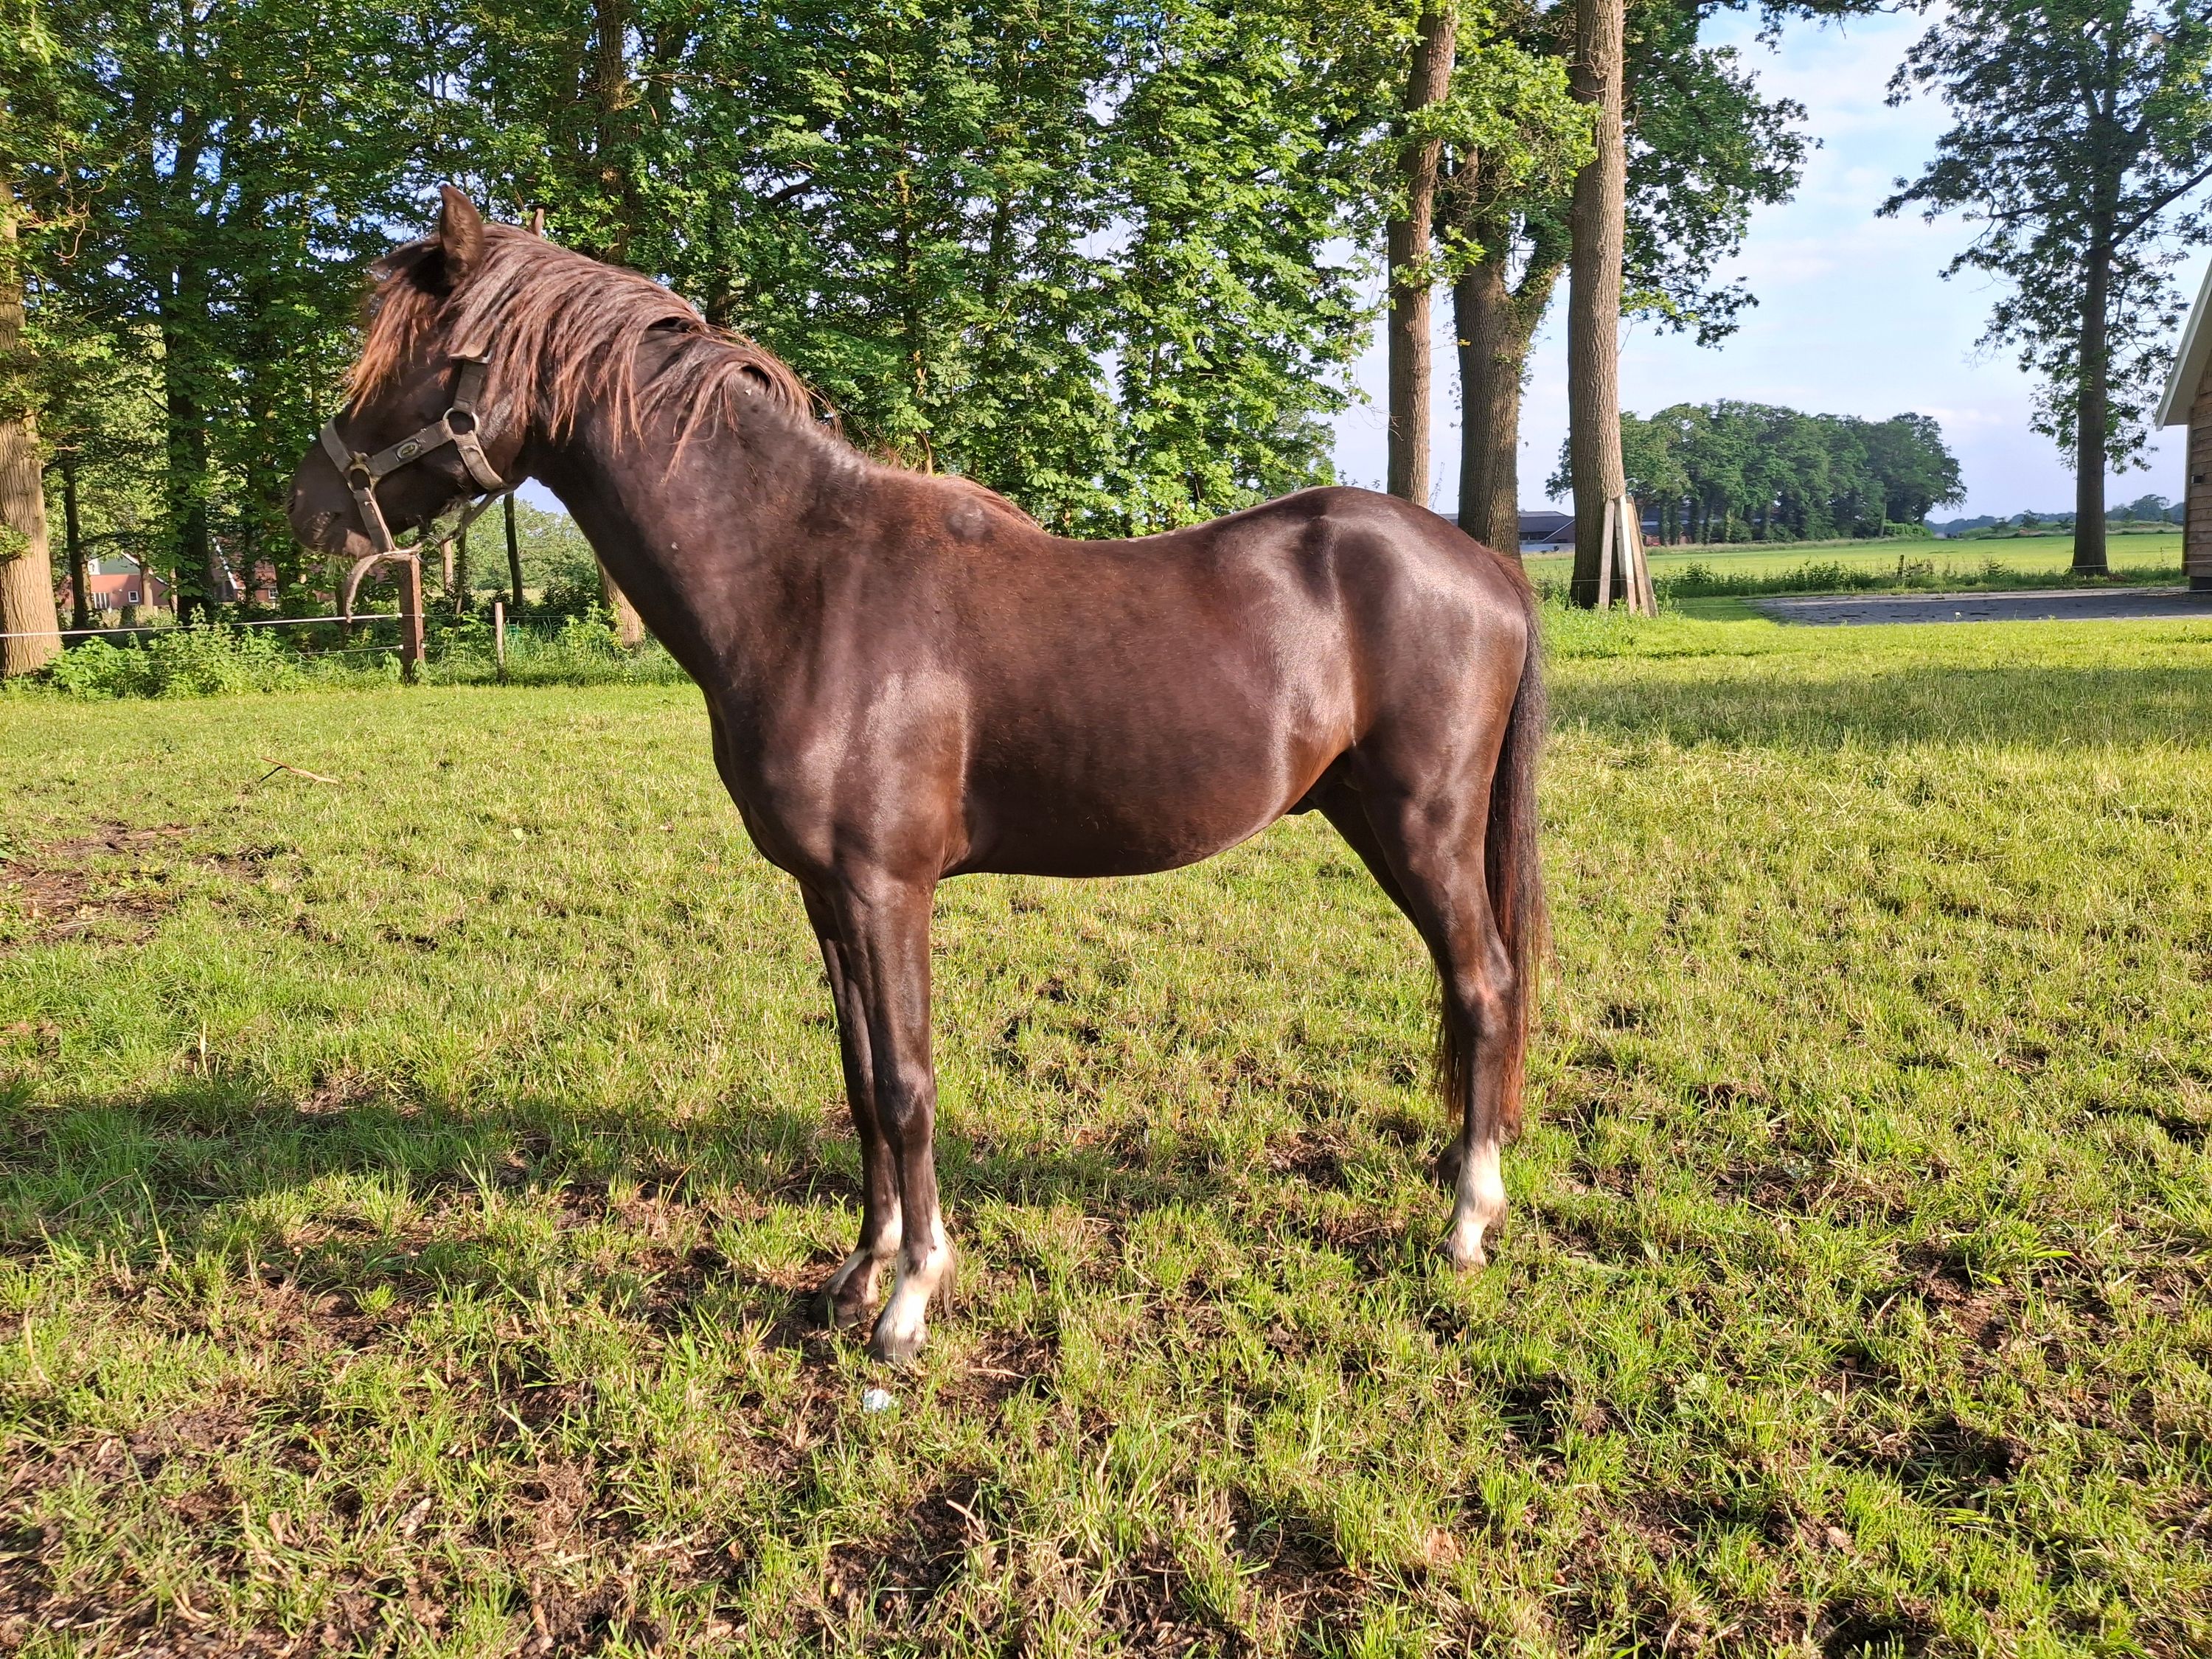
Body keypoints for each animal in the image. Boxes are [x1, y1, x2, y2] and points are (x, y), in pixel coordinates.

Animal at [288, 187, 1547, 1365]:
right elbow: (858, 1082)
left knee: (1484, 981)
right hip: (1369, 818)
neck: (804, 585)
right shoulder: (825, 895)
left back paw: (1464, 1225)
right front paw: (852, 1279)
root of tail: (1483, 562)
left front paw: (909, 1299)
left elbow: (906, 1082)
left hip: (1424, 825)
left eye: (409, 361)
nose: (312, 511)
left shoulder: (887, 888)